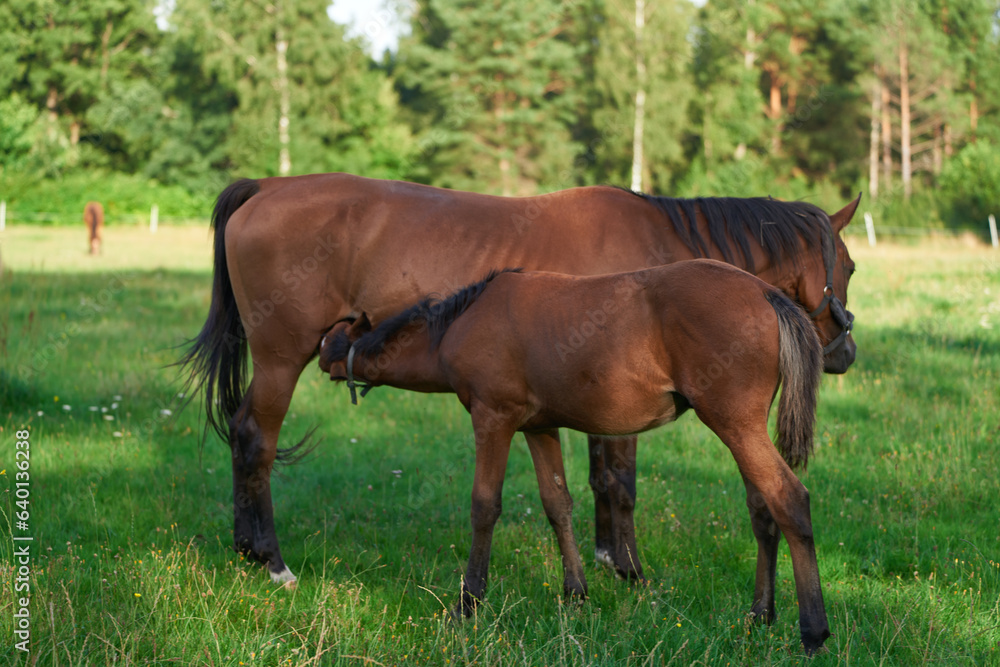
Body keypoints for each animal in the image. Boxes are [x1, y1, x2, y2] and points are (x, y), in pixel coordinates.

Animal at [181, 173, 857, 588]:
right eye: (848, 267)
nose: (845, 352)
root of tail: (265, 187)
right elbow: (620, 484)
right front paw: (631, 570)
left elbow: (595, 481)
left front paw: (607, 559)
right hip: (280, 358)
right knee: (256, 440)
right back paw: (273, 561)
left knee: (241, 435)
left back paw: (246, 548)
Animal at [318, 260, 830, 654]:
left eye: (335, 337)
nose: (321, 359)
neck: (462, 324)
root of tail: (767, 292)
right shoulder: (539, 428)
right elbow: (557, 504)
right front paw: (576, 594)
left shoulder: (492, 418)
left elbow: (484, 506)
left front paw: (469, 603)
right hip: (742, 428)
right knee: (762, 510)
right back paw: (760, 614)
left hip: (734, 424)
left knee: (790, 500)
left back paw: (813, 631)